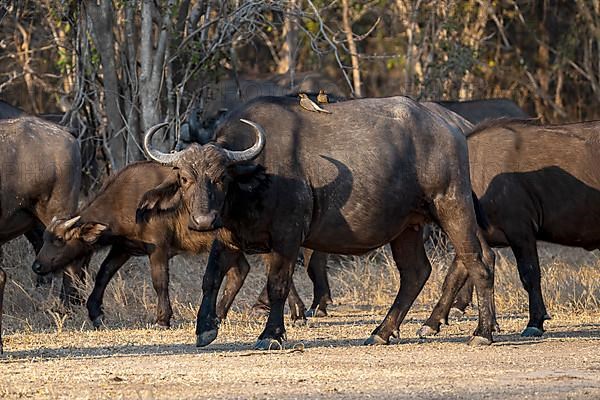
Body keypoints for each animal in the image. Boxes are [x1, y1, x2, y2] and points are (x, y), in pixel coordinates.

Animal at [138, 95, 494, 348]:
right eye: (184, 178)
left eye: (222, 177)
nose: (203, 219)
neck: (258, 178)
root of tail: (453, 128)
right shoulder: (228, 237)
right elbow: (210, 278)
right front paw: (205, 328)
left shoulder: (287, 236)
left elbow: (278, 283)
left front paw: (272, 334)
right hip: (408, 226)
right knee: (416, 272)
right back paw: (382, 331)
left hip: (452, 205)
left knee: (477, 260)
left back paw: (482, 332)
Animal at [420, 118, 600, 338]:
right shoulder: (474, 236)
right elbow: (454, 277)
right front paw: (431, 322)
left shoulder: (521, 233)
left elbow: (530, 275)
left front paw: (535, 322)